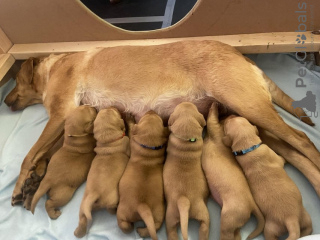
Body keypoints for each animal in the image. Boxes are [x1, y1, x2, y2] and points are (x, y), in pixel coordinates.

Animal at [3, 39, 320, 206]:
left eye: (15, 81)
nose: (4, 101)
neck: (54, 66)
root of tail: (240, 54)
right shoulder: (67, 120)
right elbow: (46, 152)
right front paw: (34, 178)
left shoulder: (61, 114)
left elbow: (31, 153)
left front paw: (20, 184)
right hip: (249, 120)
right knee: (293, 153)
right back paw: (315, 183)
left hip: (248, 104)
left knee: (304, 141)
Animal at [74, 108, 129, 238]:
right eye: (115, 111)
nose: (114, 106)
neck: (107, 141)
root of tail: (94, 194)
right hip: (112, 198)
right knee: (110, 209)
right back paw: (115, 209)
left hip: (83, 206)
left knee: (82, 219)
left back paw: (78, 233)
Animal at [117, 110, 168, 240]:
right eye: (158, 118)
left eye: (144, 117)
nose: (151, 110)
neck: (148, 149)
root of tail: (142, 206)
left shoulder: (132, 140)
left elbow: (131, 129)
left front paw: (130, 119)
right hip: (159, 213)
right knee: (155, 226)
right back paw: (142, 231)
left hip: (122, 212)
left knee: (124, 225)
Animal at [162, 102, 210, 240]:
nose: (186, 102)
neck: (186, 140)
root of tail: (184, 200)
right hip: (200, 214)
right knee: (204, 226)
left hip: (171, 217)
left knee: (171, 231)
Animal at [201, 104, 264, 240]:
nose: (232, 113)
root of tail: (252, 203)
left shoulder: (214, 129)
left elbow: (211, 119)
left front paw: (214, 106)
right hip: (235, 224)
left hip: (229, 219)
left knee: (227, 234)